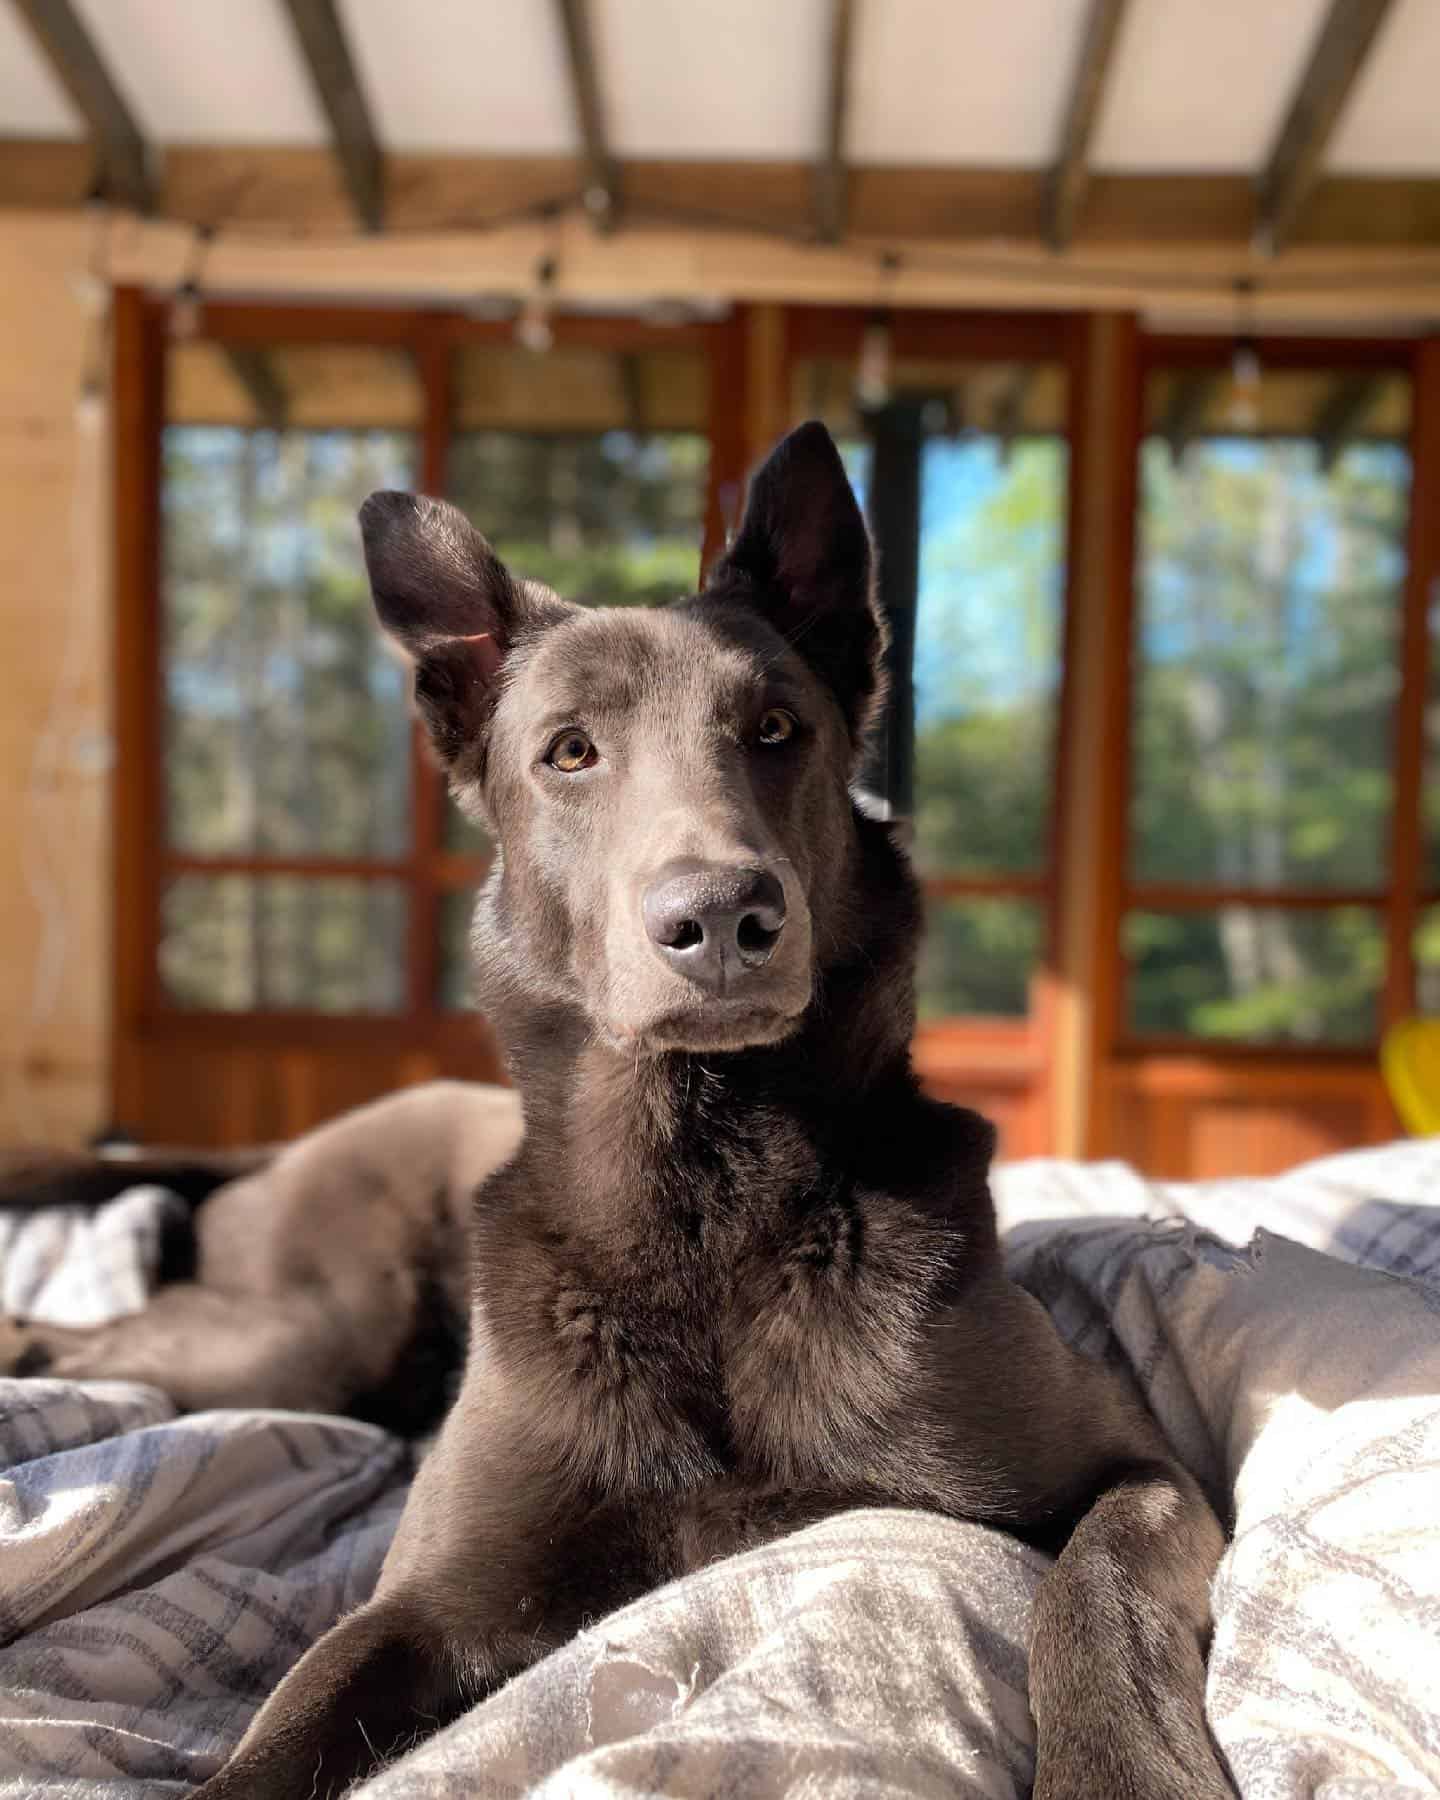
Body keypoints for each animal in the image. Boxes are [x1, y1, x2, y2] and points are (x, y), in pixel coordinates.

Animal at [14, 421, 1238, 1800]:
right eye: (570, 752)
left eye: (776, 727)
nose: (721, 916)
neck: (703, 1186)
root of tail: (277, 1148)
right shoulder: (427, 1600)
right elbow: (289, 1719)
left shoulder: (1139, 1468)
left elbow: (1093, 1586)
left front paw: (1121, 1764)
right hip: (312, 1331)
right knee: (89, 1343)